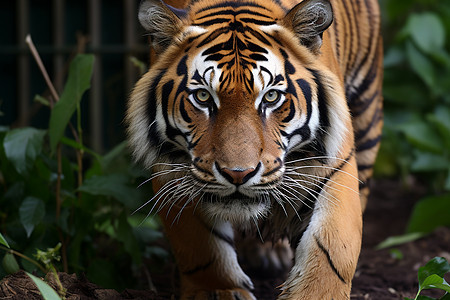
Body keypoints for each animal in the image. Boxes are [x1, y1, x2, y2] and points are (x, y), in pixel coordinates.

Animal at [126, 0, 384, 296]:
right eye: (202, 96)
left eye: (271, 96)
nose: (238, 174)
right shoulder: (173, 172)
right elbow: (203, 251)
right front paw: (222, 291)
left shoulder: (335, 167)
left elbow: (332, 250)